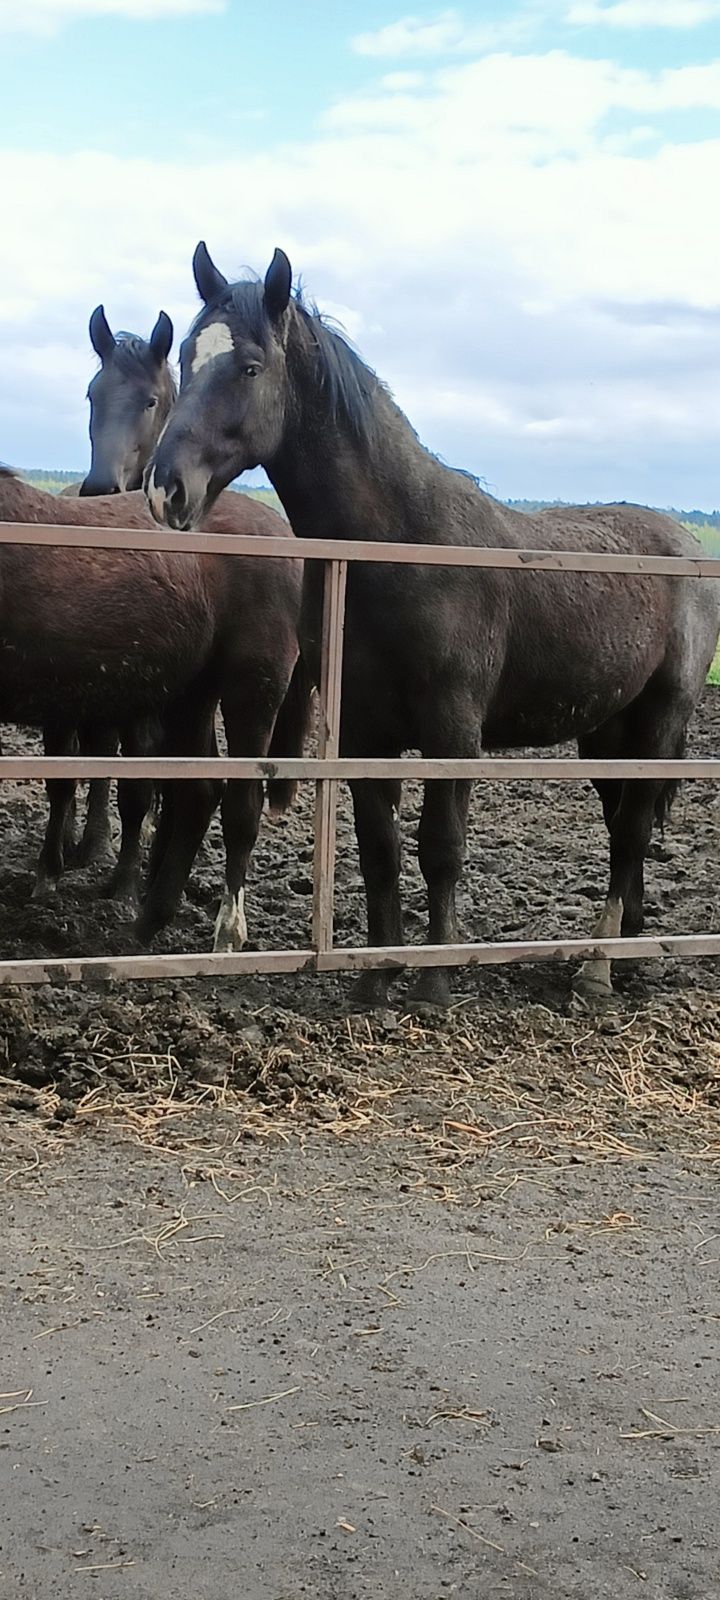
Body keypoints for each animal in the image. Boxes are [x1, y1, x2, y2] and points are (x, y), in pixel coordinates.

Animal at [0, 467, 307, 947]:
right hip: (190, 697)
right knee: (199, 794)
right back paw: (149, 921)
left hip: (251, 694)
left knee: (241, 807)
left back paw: (226, 931)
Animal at [146, 241, 720, 1004]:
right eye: (184, 357)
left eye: (250, 366)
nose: (165, 488)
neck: (402, 546)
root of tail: (687, 545)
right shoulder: (364, 731)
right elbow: (380, 848)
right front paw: (376, 977)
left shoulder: (454, 729)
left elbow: (441, 848)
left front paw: (435, 981)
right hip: (608, 733)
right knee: (623, 824)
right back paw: (628, 951)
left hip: (659, 720)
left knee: (629, 834)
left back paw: (597, 967)